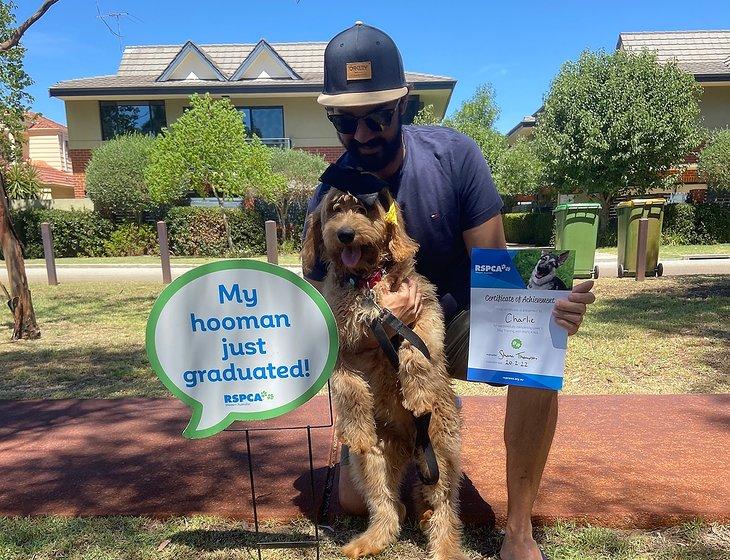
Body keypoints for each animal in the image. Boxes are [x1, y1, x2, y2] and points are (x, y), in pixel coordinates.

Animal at [302, 186, 466, 556]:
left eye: (363, 209)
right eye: (335, 211)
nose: (345, 234)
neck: (366, 282)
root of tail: (410, 445)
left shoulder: (424, 310)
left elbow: (415, 352)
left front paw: (417, 395)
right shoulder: (339, 346)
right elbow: (348, 387)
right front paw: (357, 429)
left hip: (441, 452)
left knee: (444, 508)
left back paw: (445, 548)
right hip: (372, 462)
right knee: (389, 505)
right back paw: (371, 539)